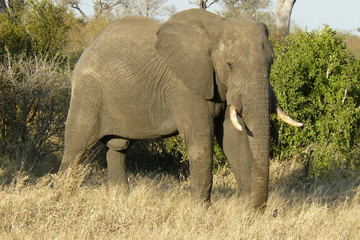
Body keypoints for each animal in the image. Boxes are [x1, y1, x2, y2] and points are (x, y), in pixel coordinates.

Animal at [60, 8, 302, 208]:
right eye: (230, 65)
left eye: (271, 63)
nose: (258, 208)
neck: (215, 30)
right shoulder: (184, 86)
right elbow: (202, 139)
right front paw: (201, 212)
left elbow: (234, 139)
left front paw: (245, 213)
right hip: (88, 93)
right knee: (76, 146)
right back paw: (62, 199)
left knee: (118, 149)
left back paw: (120, 201)